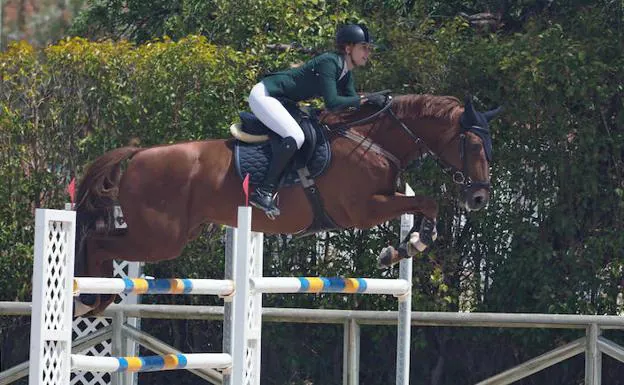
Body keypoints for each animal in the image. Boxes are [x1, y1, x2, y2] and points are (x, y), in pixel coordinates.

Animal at [73, 94, 502, 316]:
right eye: (474, 145)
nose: (479, 197)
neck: (375, 141)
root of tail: (138, 154)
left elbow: (426, 205)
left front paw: (405, 247)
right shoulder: (363, 209)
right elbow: (428, 200)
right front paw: (406, 246)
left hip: (166, 234)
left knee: (100, 237)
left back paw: (95, 299)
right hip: (160, 238)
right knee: (97, 241)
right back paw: (90, 298)